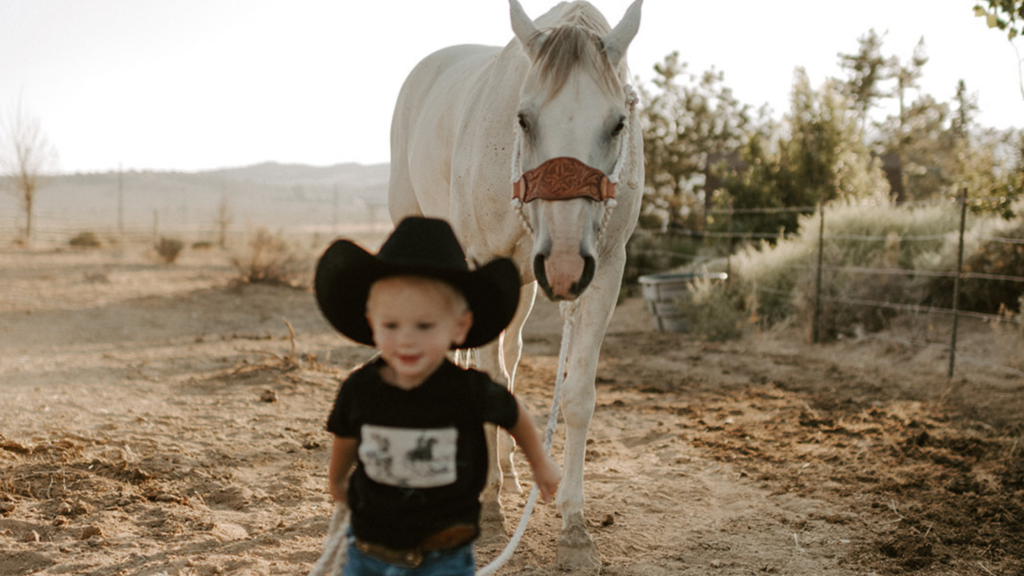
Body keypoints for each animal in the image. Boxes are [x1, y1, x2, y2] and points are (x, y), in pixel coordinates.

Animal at [387, 0, 643, 565]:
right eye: (524, 119)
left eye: (618, 123)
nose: (566, 265)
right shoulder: (483, 259)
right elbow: (487, 376)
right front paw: (488, 507)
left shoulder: (606, 269)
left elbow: (576, 395)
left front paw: (574, 527)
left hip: (523, 285)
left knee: (509, 354)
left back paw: (507, 472)